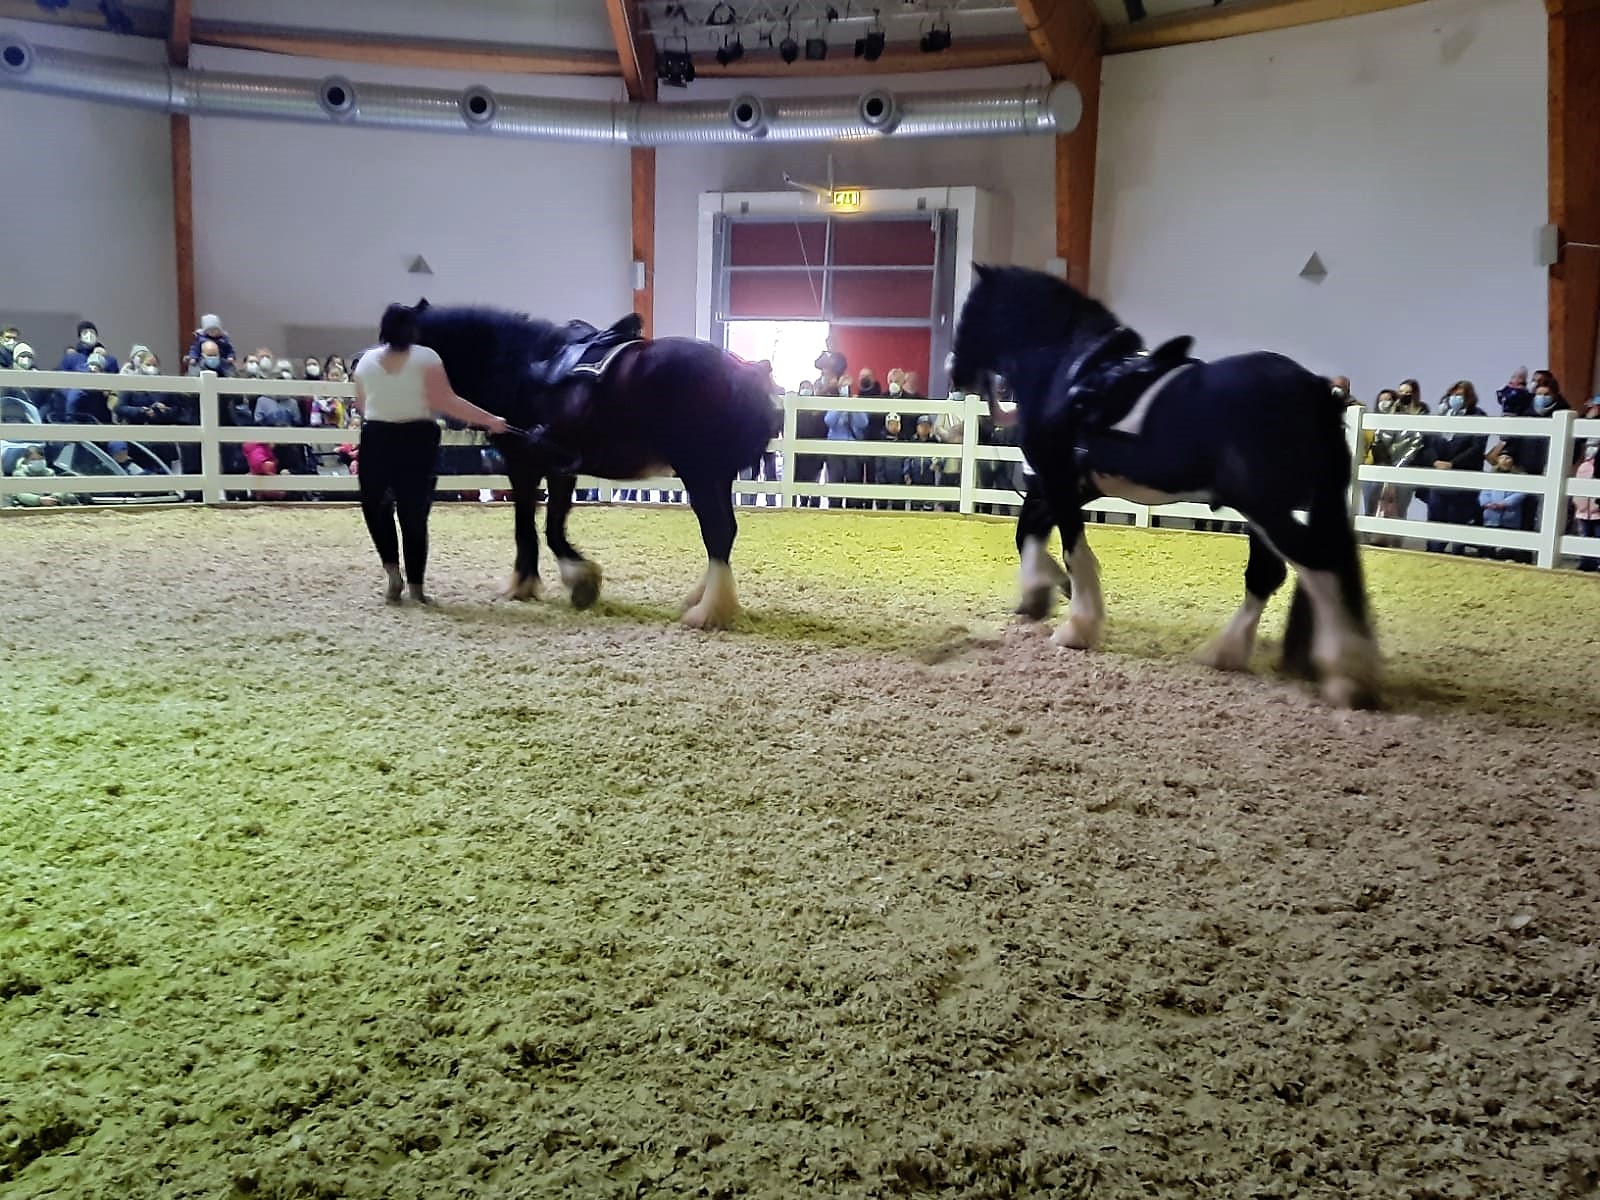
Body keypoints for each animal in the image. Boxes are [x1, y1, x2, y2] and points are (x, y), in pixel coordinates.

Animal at [412, 303, 782, 630]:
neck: (516, 362)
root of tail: (746, 372)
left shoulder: (523, 465)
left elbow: (526, 527)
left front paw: (525, 583)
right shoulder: (559, 468)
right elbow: (553, 526)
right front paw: (581, 581)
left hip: (701, 473)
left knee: (717, 532)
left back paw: (708, 611)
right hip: (716, 476)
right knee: (725, 533)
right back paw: (703, 600)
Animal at [950, 265, 1379, 709]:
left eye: (970, 309)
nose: (955, 372)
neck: (1065, 369)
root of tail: (1317, 390)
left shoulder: (1059, 479)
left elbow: (1072, 550)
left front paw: (1076, 626)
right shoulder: (1070, 484)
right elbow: (1028, 531)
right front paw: (1039, 593)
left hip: (1264, 507)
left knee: (1316, 565)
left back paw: (1346, 675)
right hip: (1266, 509)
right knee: (1269, 574)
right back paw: (1227, 653)